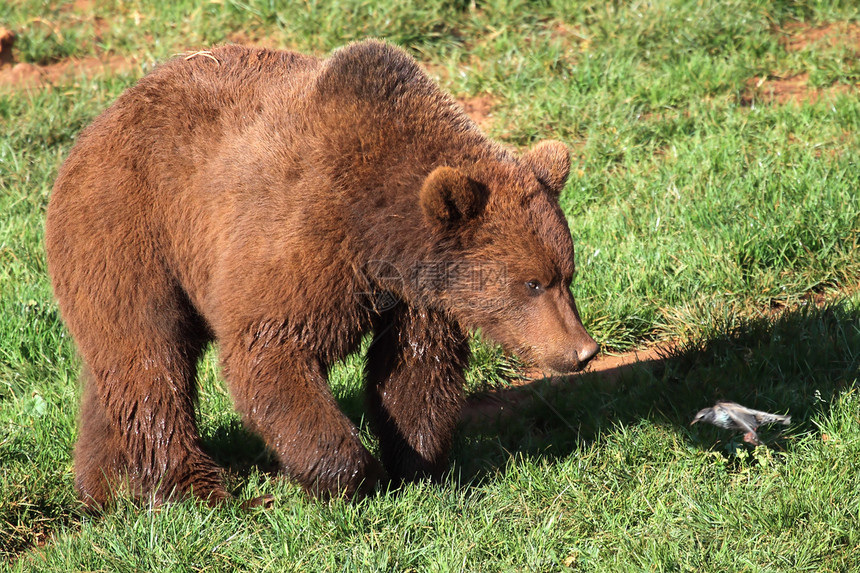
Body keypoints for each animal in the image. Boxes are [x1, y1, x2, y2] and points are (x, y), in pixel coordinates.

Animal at [45, 39, 596, 504]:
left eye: (566, 274)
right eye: (532, 282)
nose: (582, 350)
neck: (379, 229)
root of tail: (92, 128)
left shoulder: (420, 291)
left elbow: (415, 368)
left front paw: (418, 466)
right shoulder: (302, 242)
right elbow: (271, 352)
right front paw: (355, 476)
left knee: (116, 372)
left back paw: (104, 486)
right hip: (130, 231)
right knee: (150, 357)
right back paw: (195, 487)